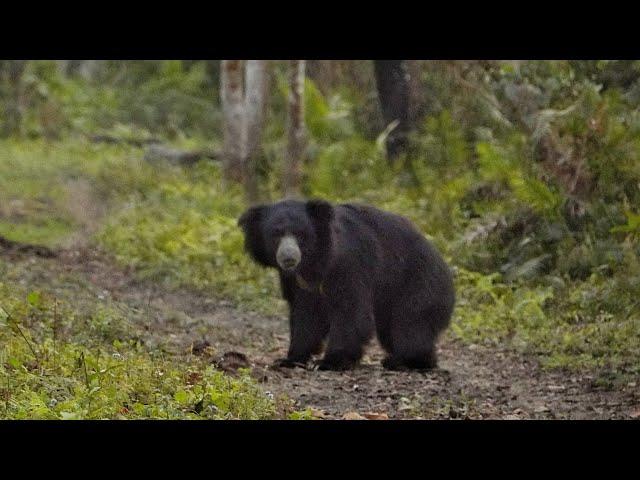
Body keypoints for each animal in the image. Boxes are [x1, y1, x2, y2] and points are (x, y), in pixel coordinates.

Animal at [238, 199, 452, 372]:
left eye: (300, 234)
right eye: (276, 234)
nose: (288, 257)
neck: (313, 261)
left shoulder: (349, 263)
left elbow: (351, 310)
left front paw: (328, 362)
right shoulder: (295, 281)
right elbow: (305, 315)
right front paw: (289, 359)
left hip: (417, 283)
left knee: (410, 324)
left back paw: (403, 361)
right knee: (392, 330)